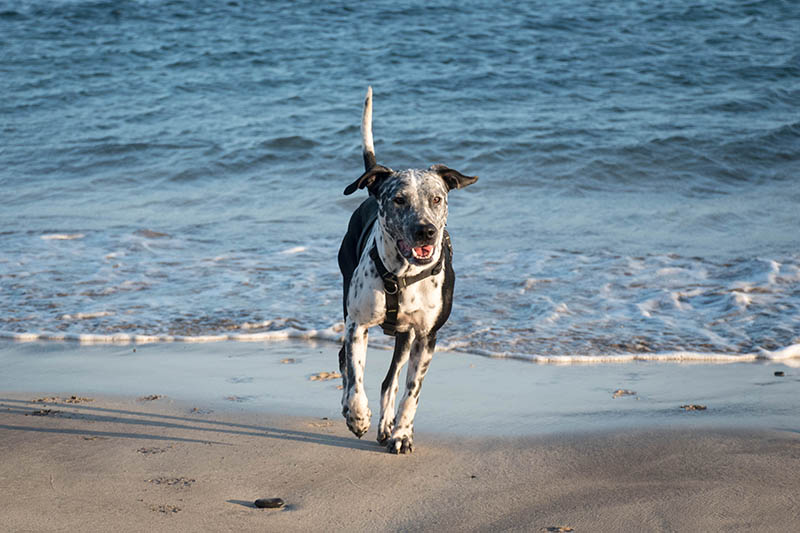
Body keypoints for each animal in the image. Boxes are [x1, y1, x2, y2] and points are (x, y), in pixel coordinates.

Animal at [336, 87, 478, 454]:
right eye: (398, 199)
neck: (401, 275)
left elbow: (411, 391)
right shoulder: (357, 324)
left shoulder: (426, 336)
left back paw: (388, 426)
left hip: (405, 337)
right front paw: (358, 415)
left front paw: (401, 432)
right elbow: (356, 376)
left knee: (390, 381)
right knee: (345, 362)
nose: (425, 231)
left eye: (437, 198)